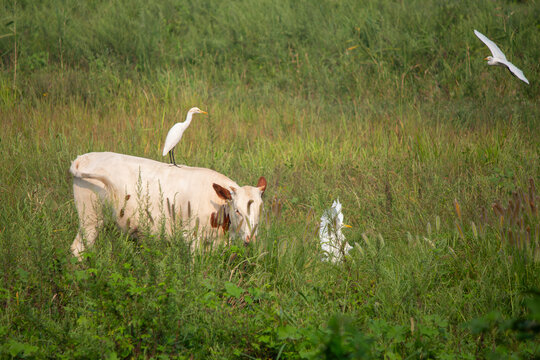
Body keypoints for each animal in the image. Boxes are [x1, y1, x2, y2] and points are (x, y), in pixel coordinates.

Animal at [69, 152, 268, 258]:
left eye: (260, 209)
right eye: (237, 210)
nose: (251, 238)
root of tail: (85, 157)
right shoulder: (193, 239)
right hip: (90, 219)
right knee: (78, 250)